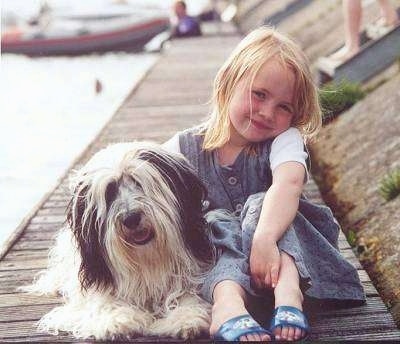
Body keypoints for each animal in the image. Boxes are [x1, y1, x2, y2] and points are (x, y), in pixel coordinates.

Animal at [23, 142, 214, 338]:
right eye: (109, 192)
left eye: (138, 182)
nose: (131, 218)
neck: (147, 260)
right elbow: (103, 301)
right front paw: (117, 320)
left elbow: (186, 294)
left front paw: (186, 318)